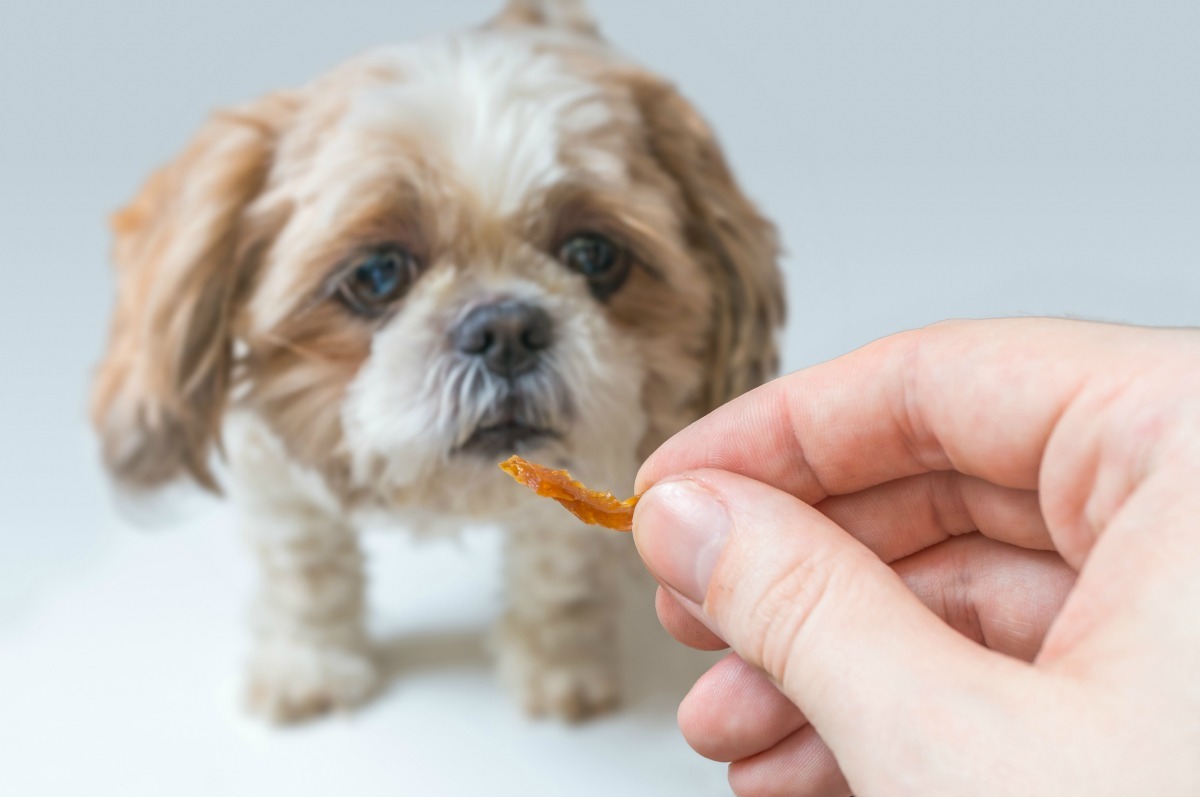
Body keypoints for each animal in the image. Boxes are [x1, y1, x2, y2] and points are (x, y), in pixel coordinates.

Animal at [93, 0, 787, 720]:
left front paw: (557, 663)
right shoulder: (273, 466)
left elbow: (559, 572)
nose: (506, 327)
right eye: (377, 273)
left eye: (594, 254)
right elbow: (306, 568)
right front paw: (307, 663)